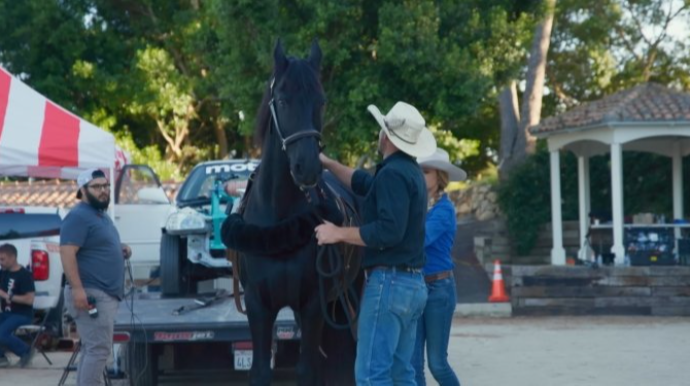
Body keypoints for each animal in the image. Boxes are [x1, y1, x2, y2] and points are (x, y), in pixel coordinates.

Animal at [222, 40, 360, 384]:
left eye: (320, 102)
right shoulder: (258, 306)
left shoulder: (312, 305)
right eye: (283, 100)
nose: (307, 166)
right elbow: (260, 370)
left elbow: (307, 370)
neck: (280, 222)